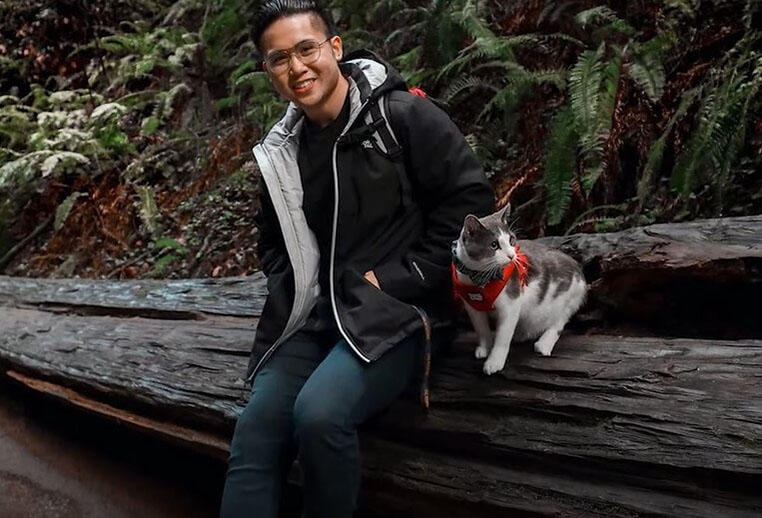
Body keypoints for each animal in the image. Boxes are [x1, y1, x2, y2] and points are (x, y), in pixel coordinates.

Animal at [452, 203, 587, 375]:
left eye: (511, 239)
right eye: (494, 245)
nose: (511, 255)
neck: (479, 278)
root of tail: (577, 267)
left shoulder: (511, 302)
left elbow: (503, 336)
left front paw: (494, 362)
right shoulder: (472, 305)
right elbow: (481, 328)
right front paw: (484, 348)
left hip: (572, 295)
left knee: (559, 321)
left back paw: (544, 344)